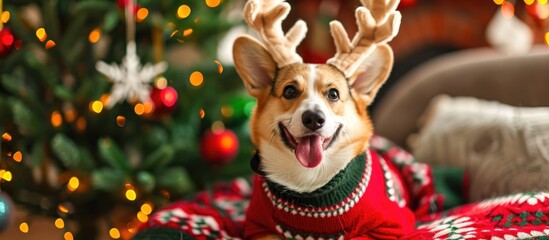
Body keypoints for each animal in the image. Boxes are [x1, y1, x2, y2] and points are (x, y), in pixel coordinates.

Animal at [230, 0, 416, 238]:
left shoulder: (389, 227)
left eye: (333, 94)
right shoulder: (257, 226)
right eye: (289, 91)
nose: (313, 119)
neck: (310, 182)